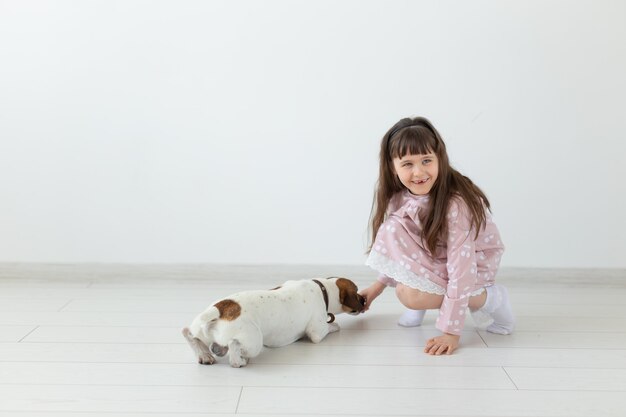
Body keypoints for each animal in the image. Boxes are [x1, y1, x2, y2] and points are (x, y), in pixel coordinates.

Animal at [180, 278, 364, 366]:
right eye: (356, 292)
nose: (364, 300)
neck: (322, 287)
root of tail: (222, 308)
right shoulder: (317, 332)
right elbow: (330, 327)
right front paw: (334, 324)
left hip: (202, 329)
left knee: (190, 334)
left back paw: (206, 354)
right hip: (254, 341)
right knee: (234, 346)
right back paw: (238, 360)